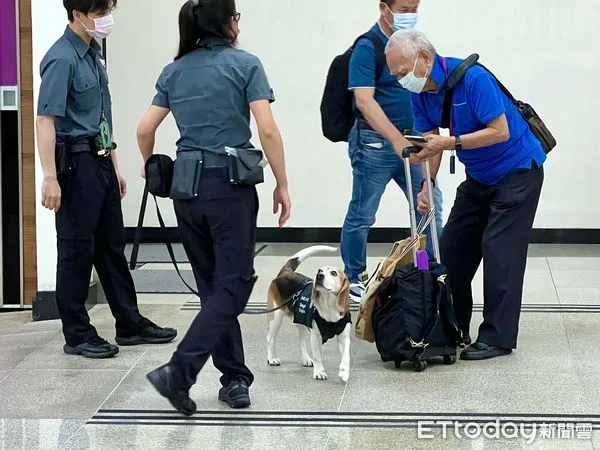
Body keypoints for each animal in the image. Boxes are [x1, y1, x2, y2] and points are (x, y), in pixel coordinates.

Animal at [266, 246, 352, 384]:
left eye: (334, 273)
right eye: (320, 270)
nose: (319, 275)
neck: (329, 308)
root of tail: (285, 273)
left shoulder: (344, 336)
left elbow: (346, 356)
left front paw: (344, 373)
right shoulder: (316, 336)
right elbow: (317, 356)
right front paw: (319, 372)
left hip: (300, 320)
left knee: (301, 341)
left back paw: (306, 359)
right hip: (275, 317)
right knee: (270, 338)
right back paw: (272, 358)